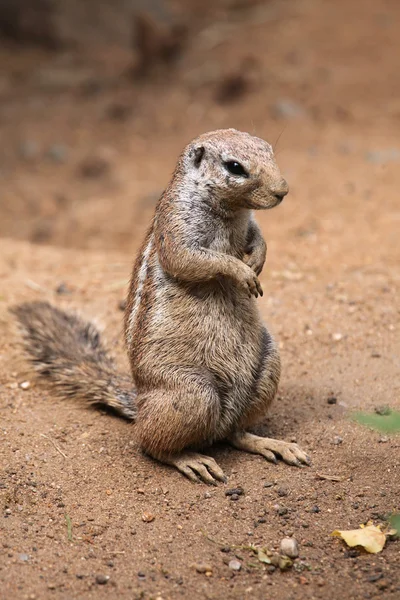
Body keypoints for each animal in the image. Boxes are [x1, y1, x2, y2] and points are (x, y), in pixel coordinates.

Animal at [11, 130, 310, 482]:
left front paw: (258, 260)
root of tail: (140, 402)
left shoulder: (248, 224)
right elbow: (193, 259)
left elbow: (259, 237)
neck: (230, 211)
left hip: (267, 366)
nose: (283, 191)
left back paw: (271, 444)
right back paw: (192, 460)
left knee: (235, 434)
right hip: (191, 392)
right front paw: (242, 272)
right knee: (151, 444)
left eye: (269, 150)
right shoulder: (176, 227)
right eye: (234, 167)